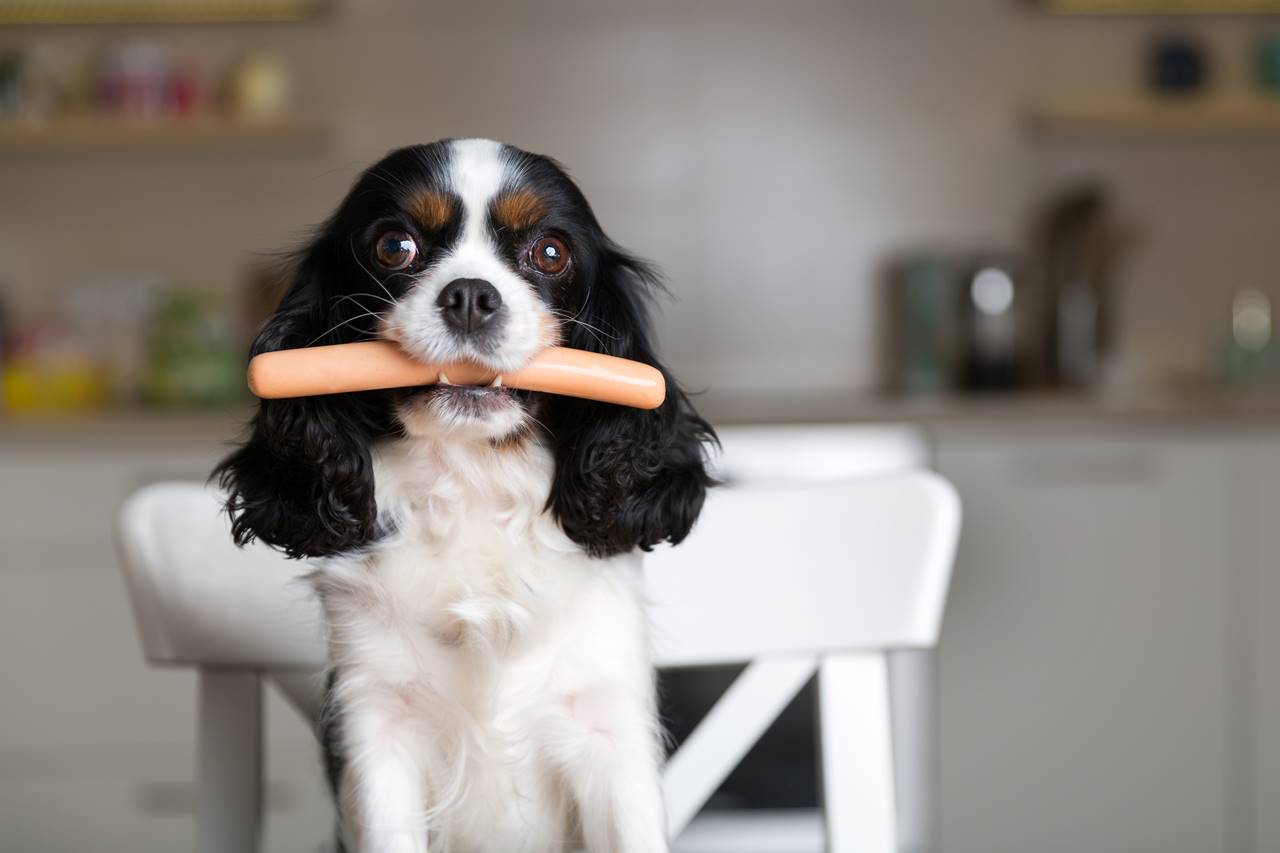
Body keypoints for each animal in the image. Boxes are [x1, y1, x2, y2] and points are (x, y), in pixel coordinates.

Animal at [215, 139, 716, 850]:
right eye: (394, 246)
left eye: (550, 252)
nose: (472, 295)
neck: (474, 484)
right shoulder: (377, 724)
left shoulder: (606, 726)